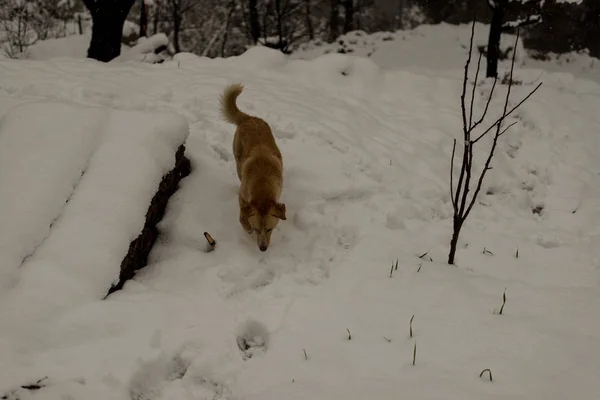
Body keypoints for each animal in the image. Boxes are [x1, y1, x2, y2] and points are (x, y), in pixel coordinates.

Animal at [220, 82, 286, 250]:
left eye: (270, 229)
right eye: (256, 229)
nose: (263, 248)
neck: (262, 185)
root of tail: (249, 118)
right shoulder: (242, 197)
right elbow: (243, 215)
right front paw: (246, 226)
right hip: (238, 160)